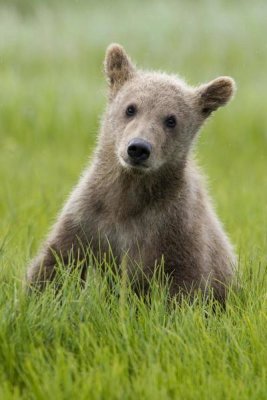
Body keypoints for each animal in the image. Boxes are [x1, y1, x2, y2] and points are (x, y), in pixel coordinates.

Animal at [26, 43, 237, 302]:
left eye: (171, 119)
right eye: (131, 108)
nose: (138, 148)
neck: (128, 196)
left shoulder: (176, 231)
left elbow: (184, 284)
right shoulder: (87, 220)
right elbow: (56, 263)